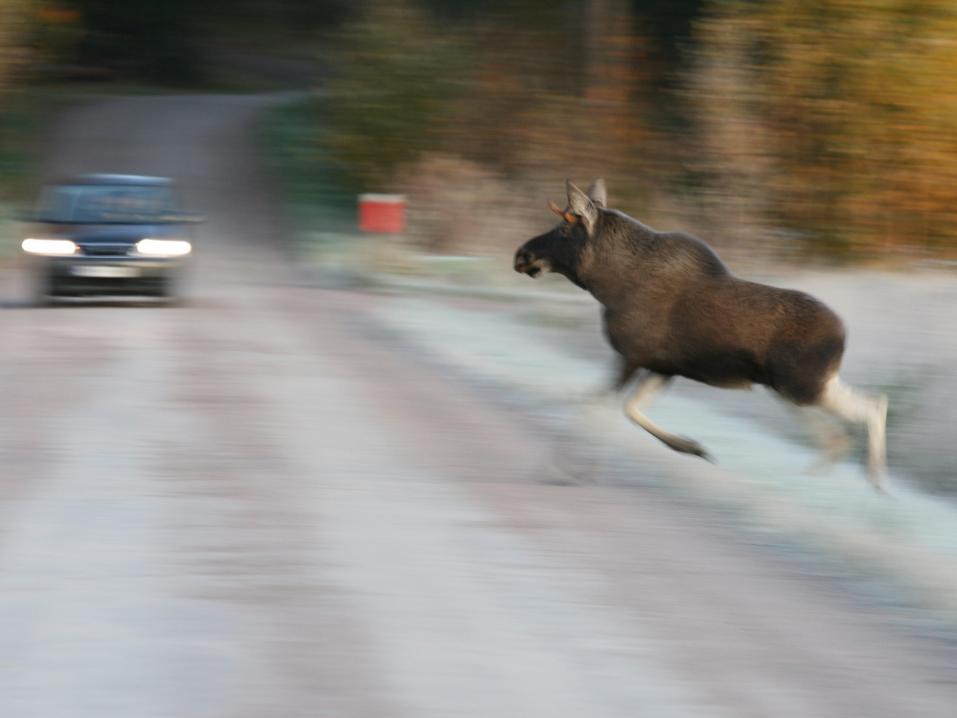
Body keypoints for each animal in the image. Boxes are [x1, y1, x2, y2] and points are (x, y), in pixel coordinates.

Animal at [516, 181, 888, 496]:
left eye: (564, 230)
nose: (522, 255)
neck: (606, 286)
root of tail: (843, 335)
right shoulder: (663, 367)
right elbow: (630, 409)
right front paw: (691, 446)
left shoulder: (631, 357)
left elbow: (595, 407)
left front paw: (569, 469)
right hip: (801, 386)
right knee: (871, 406)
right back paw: (866, 478)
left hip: (797, 386)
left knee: (851, 423)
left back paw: (849, 475)